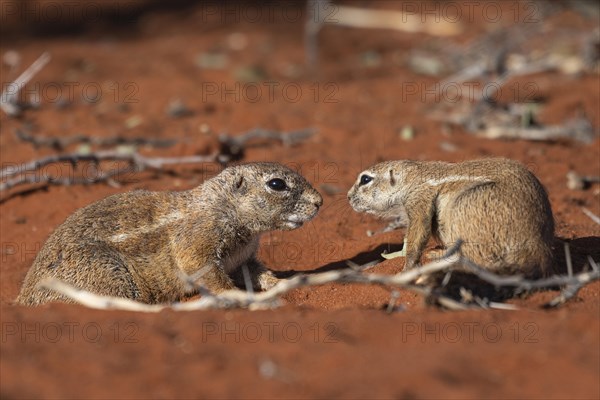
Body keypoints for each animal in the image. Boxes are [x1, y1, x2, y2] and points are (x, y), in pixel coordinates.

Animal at [16, 161, 322, 304]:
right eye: (277, 184)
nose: (320, 201)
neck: (224, 205)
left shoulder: (243, 259)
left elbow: (260, 272)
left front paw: (282, 283)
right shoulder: (198, 242)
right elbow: (207, 273)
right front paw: (238, 296)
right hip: (106, 273)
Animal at [350, 158, 556, 276]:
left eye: (365, 179)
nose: (348, 197)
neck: (412, 178)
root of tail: (538, 246)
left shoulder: (418, 200)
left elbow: (417, 234)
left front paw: (406, 269)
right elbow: (408, 238)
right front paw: (394, 255)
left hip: (465, 202)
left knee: (479, 261)